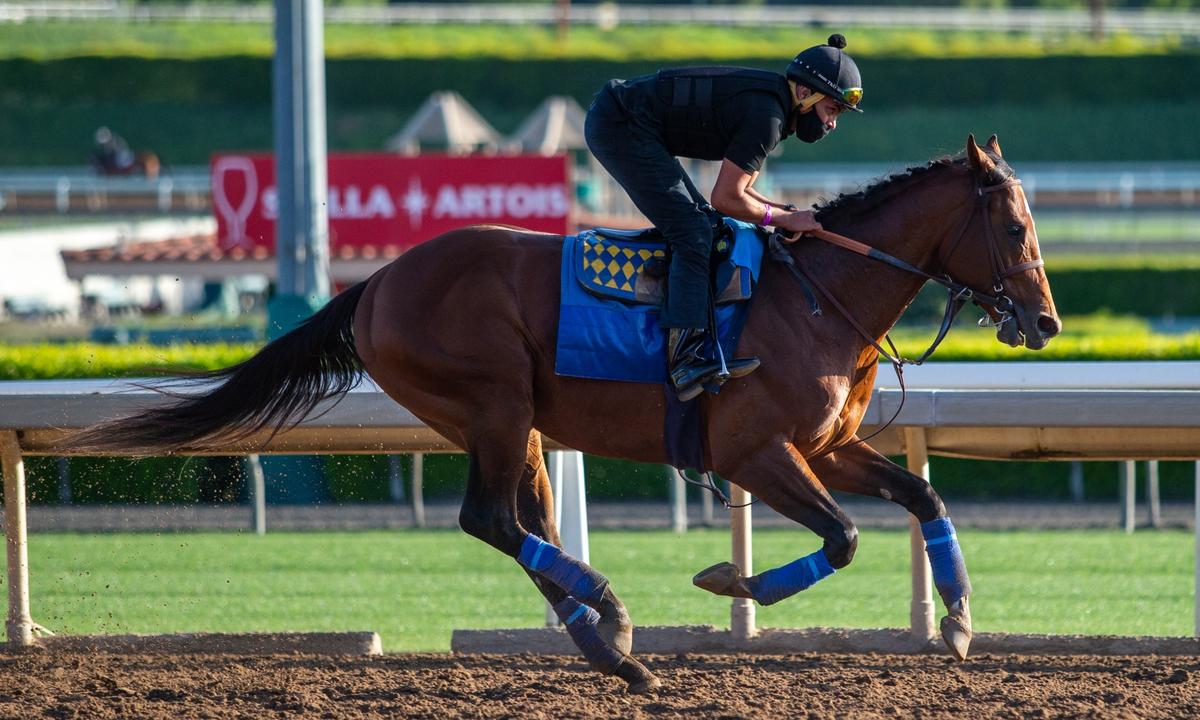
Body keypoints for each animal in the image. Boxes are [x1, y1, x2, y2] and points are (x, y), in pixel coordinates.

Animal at [64, 134, 1060, 693]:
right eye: (1014, 228)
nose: (1045, 321)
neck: (817, 296)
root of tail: (374, 284)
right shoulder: (752, 450)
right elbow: (844, 538)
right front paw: (727, 583)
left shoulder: (830, 444)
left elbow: (923, 499)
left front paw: (960, 625)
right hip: (495, 402)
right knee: (489, 519)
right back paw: (610, 610)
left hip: (521, 426)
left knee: (521, 525)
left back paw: (611, 646)